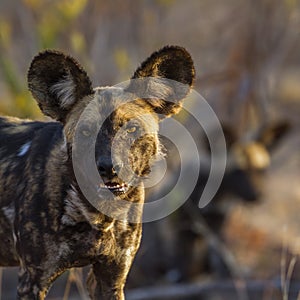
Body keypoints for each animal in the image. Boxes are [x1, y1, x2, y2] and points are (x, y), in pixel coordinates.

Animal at [0, 45, 195, 298]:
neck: (98, 214)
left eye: (131, 128)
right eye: (86, 132)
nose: (109, 167)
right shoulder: (33, 280)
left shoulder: (111, 279)